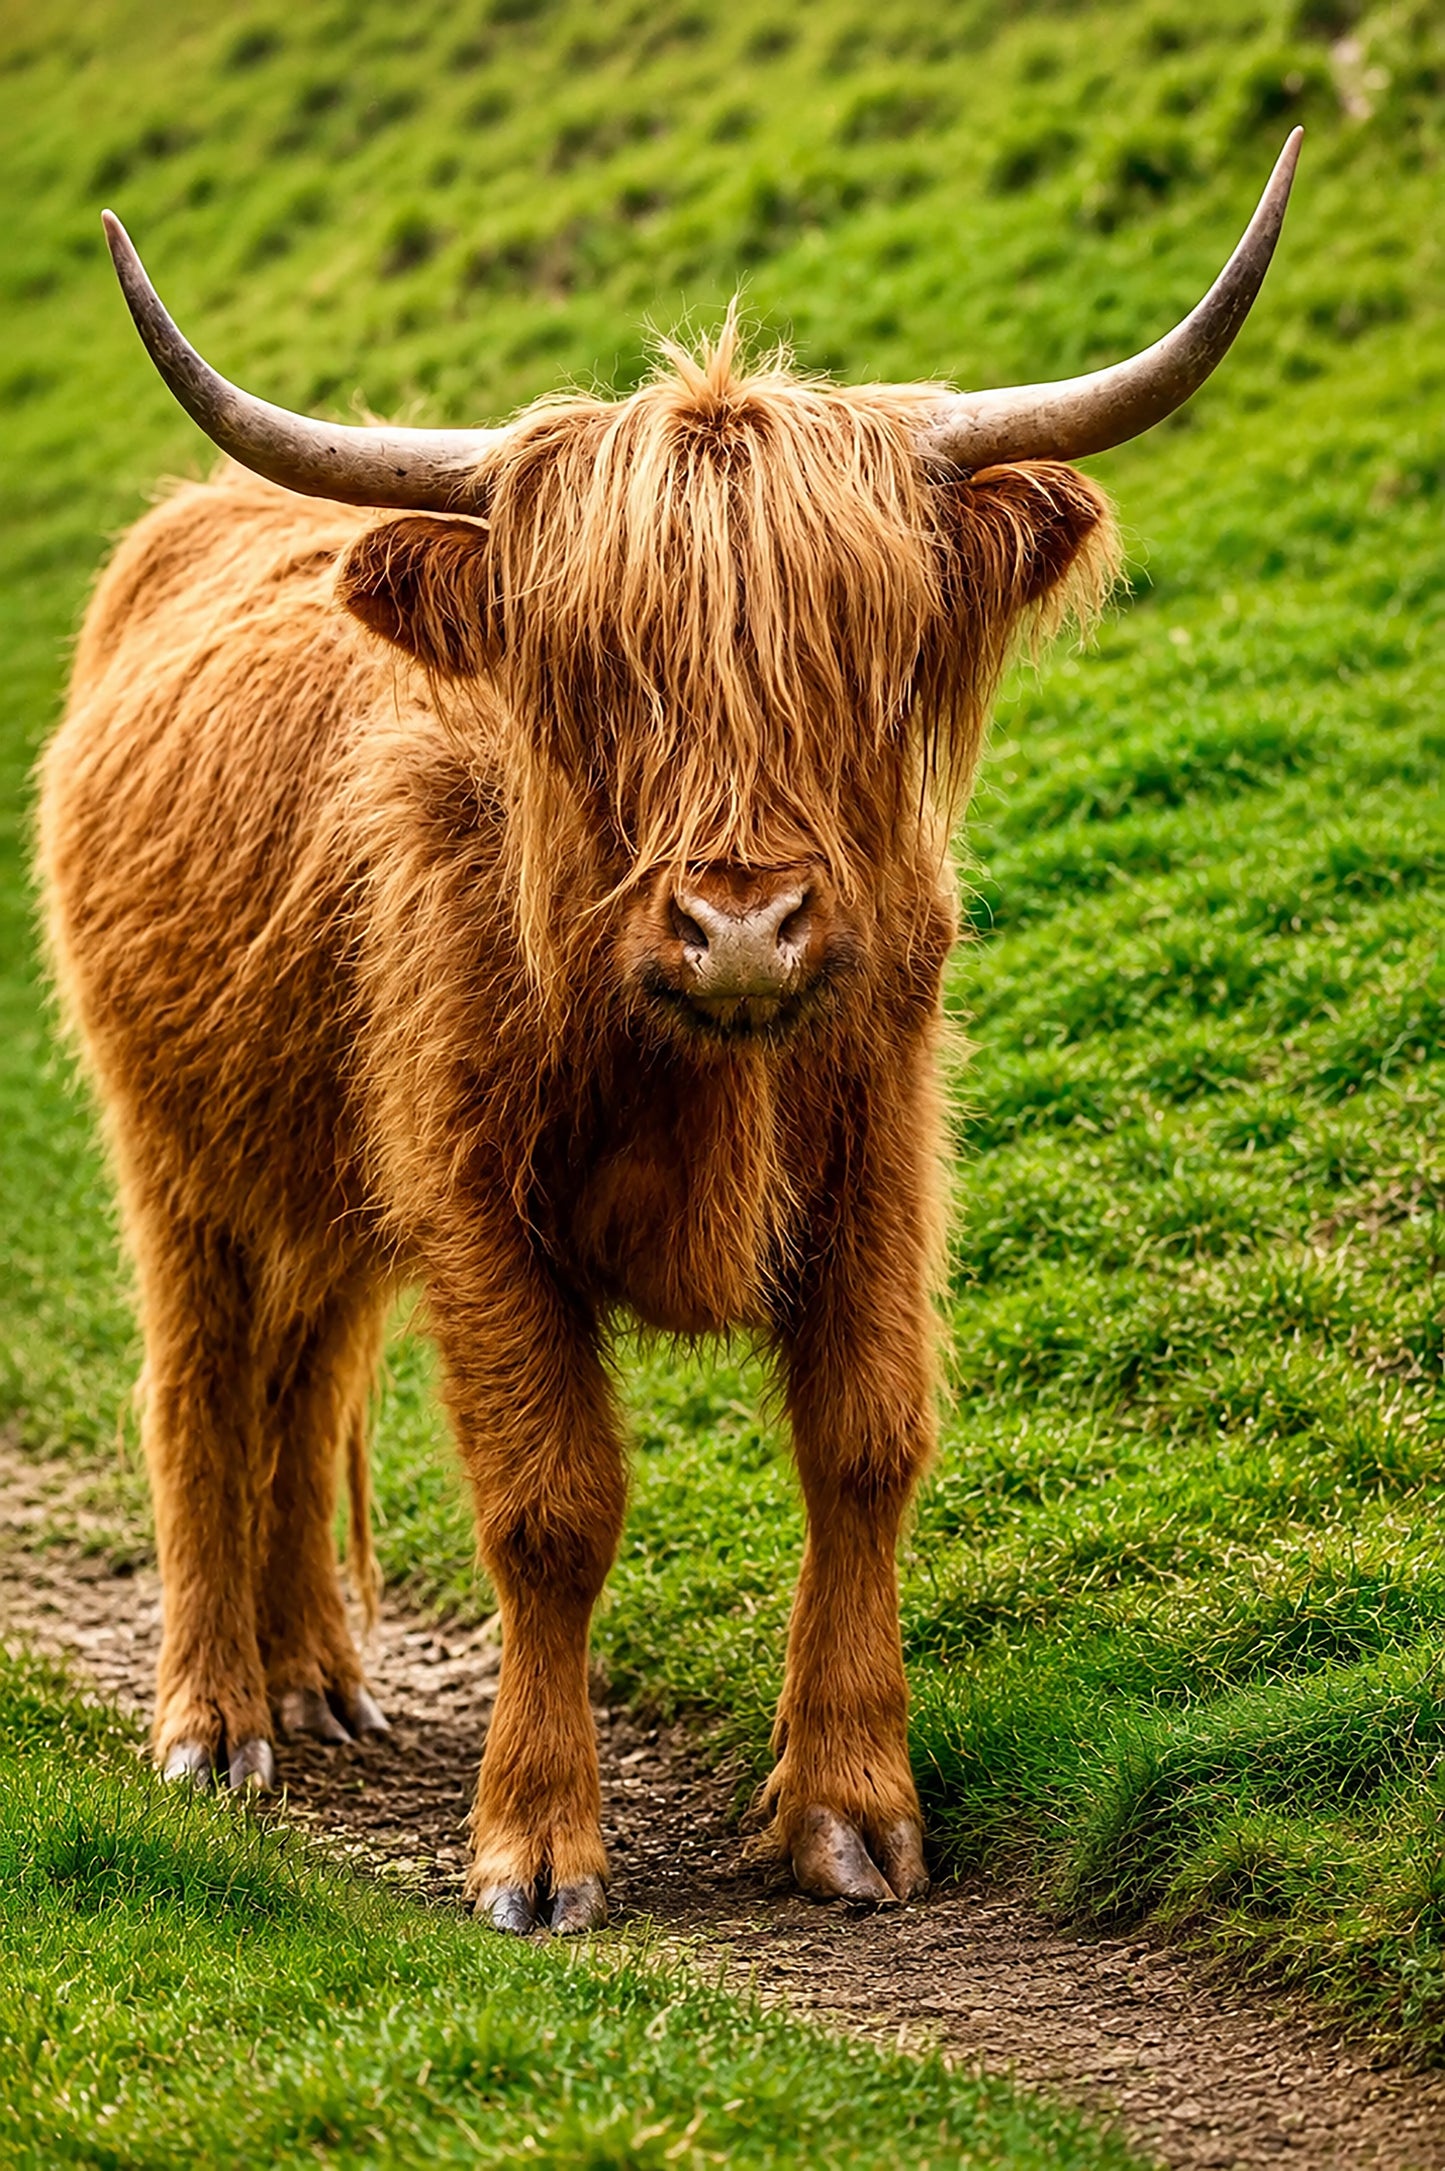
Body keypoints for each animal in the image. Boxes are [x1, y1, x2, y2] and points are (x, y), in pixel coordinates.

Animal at [37, 134, 1299, 1935]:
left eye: (852, 657)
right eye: (599, 673)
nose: (745, 922)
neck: (704, 1074)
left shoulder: (876, 1157)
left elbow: (868, 1445)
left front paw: (851, 1808)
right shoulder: (477, 1203)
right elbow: (552, 1506)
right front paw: (536, 1846)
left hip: (329, 1172)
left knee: (301, 1371)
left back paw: (317, 1679)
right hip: (176, 1144)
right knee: (204, 1384)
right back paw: (216, 1719)